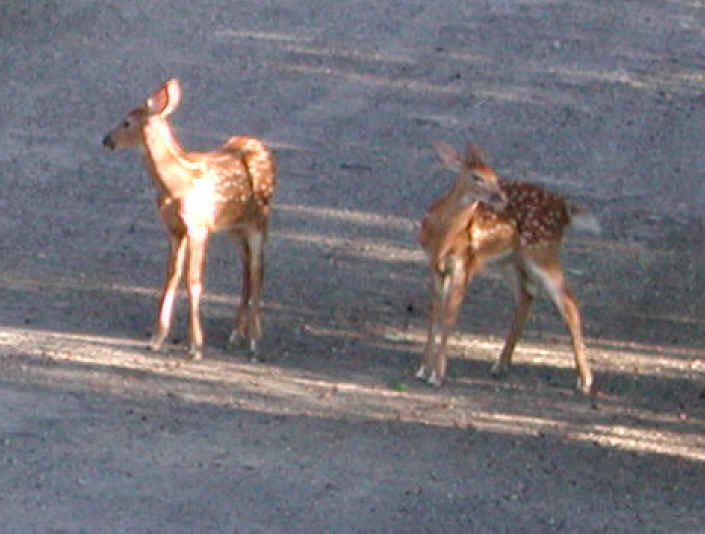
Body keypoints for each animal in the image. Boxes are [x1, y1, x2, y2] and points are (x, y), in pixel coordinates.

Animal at [102, 78, 276, 361]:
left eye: (126, 122)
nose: (106, 140)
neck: (176, 185)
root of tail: (265, 149)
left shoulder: (198, 227)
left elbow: (193, 281)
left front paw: (196, 346)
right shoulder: (175, 229)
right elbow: (171, 276)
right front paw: (157, 338)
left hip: (259, 219)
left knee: (258, 267)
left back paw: (254, 341)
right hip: (235, 226)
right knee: (247, 267)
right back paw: (236, 335)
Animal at [416, 141, 599, 394]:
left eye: (495, 176)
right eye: (476, 177)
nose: (500, 197)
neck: (442, 237)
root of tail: (564, 209)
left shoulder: (464, 263)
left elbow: (450, 316)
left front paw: (438, 375)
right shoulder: (434, 266)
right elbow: (435, 313)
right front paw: (423, 370)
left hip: (542, 251)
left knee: (569, 303)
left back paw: (585, 380)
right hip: (510, 260)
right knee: (527, 296)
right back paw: (501, 364)